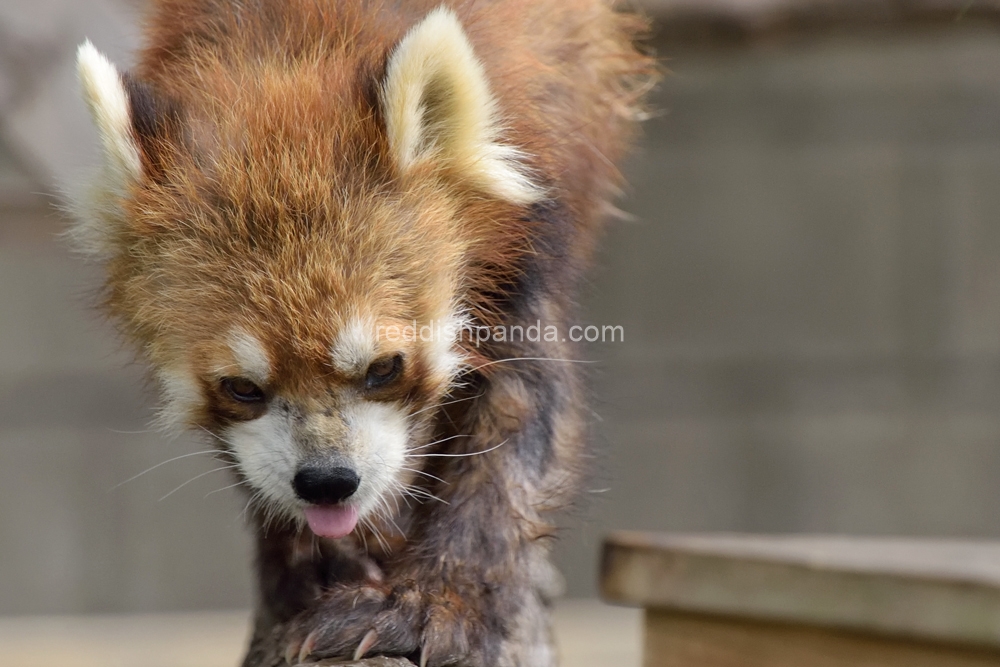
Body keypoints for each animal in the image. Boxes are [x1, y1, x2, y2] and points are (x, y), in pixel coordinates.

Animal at [70, 2, 648, 664]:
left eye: (384, 367)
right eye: (242, 387)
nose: (327, 482)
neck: (295, 47)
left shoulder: (528, 233)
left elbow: (520, 422)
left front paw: (432, 602)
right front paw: (310, 567)